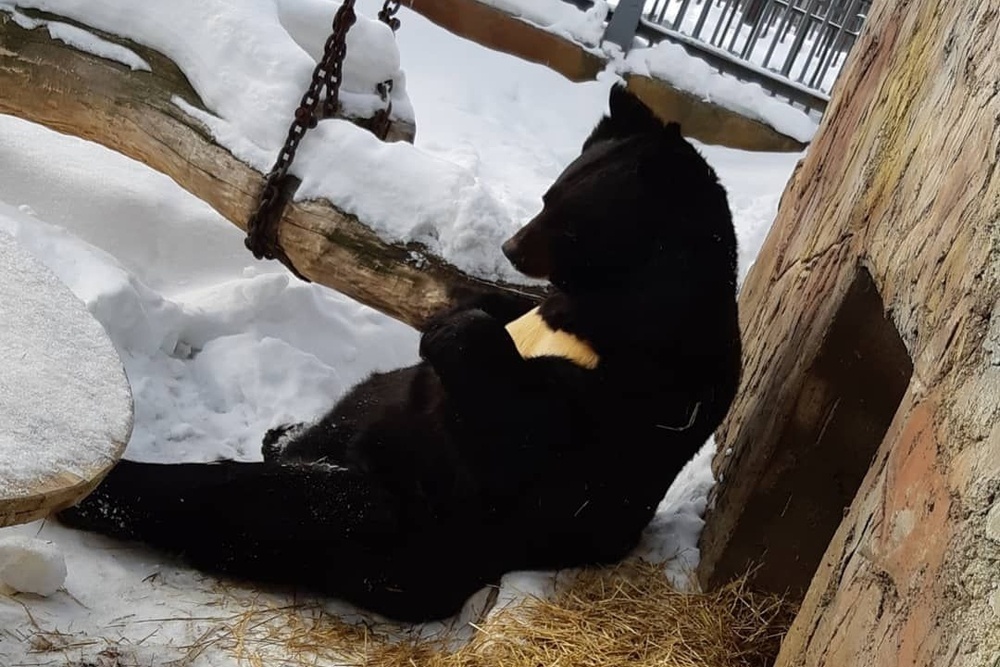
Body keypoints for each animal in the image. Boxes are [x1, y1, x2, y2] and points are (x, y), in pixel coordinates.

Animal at [56, 82, 744, 620]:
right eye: (550, 194)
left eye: (567, 218)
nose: (512, 247)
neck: (605, 304)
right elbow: (486, 317)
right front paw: (459, 309)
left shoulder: (642, 387)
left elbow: (528, 446)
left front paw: (458, 333)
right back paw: (280, 434)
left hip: (388, 517)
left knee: (250, 505)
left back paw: (109, 489)